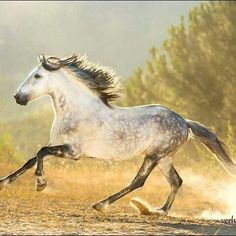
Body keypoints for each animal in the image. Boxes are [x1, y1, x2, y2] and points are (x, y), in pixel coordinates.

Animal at [0, 54, 235, 216]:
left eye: (37, 76)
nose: (18, 97)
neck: (76, 111)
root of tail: (184, 122)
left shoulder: (72, 152)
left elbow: (40, 153)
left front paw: (41, 184)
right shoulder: (58, 144)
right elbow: (31, 160)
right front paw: (4, 182)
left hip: (154, 155)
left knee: (139, 181)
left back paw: (102, 204)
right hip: (164, 158)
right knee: (176, 181)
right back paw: (160, 210)